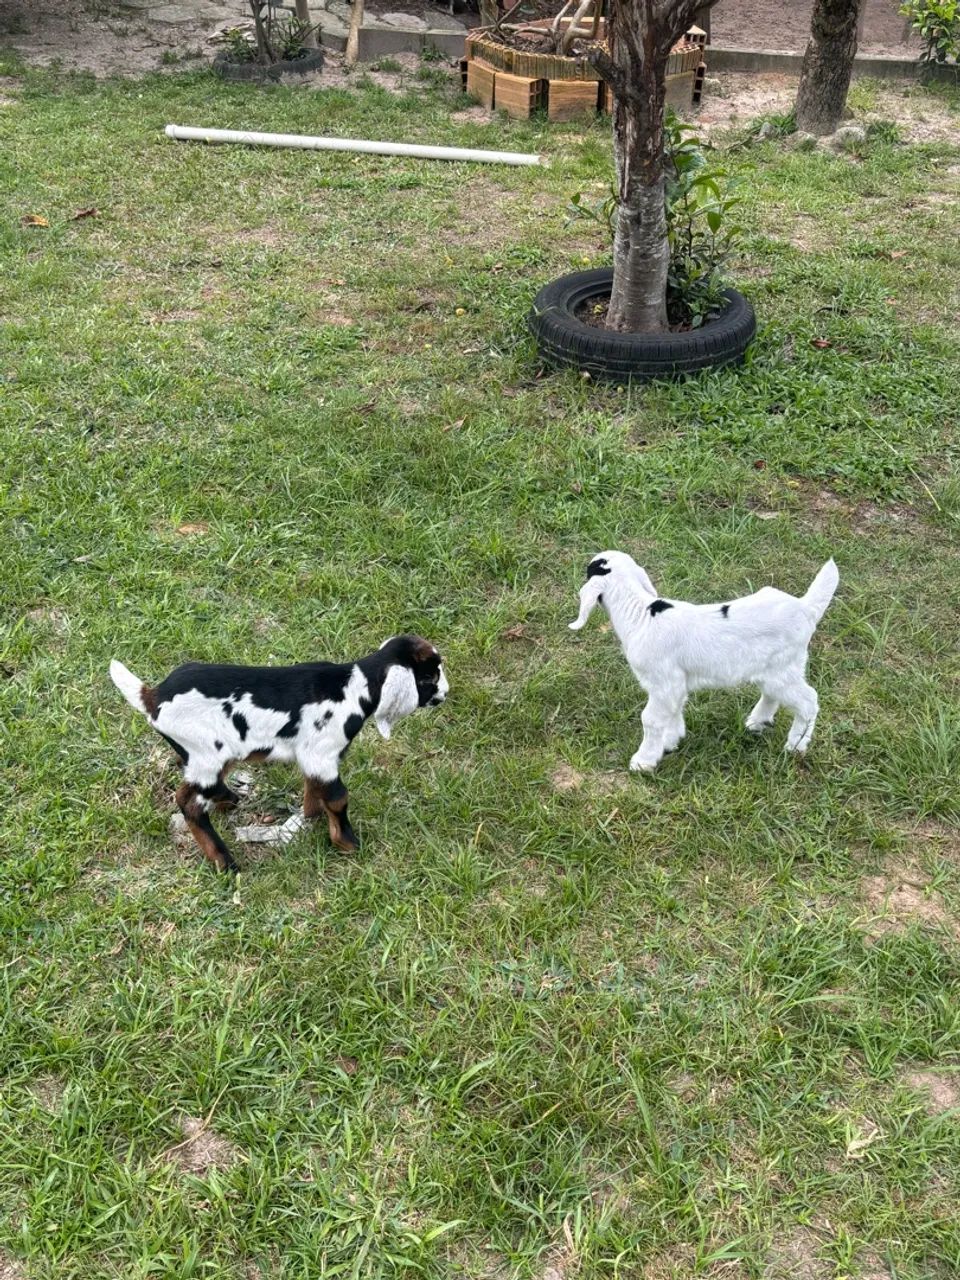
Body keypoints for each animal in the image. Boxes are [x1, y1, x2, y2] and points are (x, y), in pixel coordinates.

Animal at [110, 635, 448, 871]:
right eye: (429, 677)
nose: (445, 694)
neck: (354, 688)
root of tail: (153, 698)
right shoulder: (322, 755)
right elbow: (338, 798)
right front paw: (347, 843)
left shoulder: (314, 759)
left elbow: (314, 789)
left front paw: (309, 817)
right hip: (207, 754)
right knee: (189, 802)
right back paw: (224, 862)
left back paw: (229, 800)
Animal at [569, 552, 838, 772]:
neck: (640, 615)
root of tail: (805, 608)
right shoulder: (676, 683)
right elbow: (675, 709)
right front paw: (671, 741)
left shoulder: (664, 682)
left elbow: (651, 719)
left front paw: (643, 761)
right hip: (772, 669)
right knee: (774, 694)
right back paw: (757, 722)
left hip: (784, 667)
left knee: (808, 701)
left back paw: (796, 746)